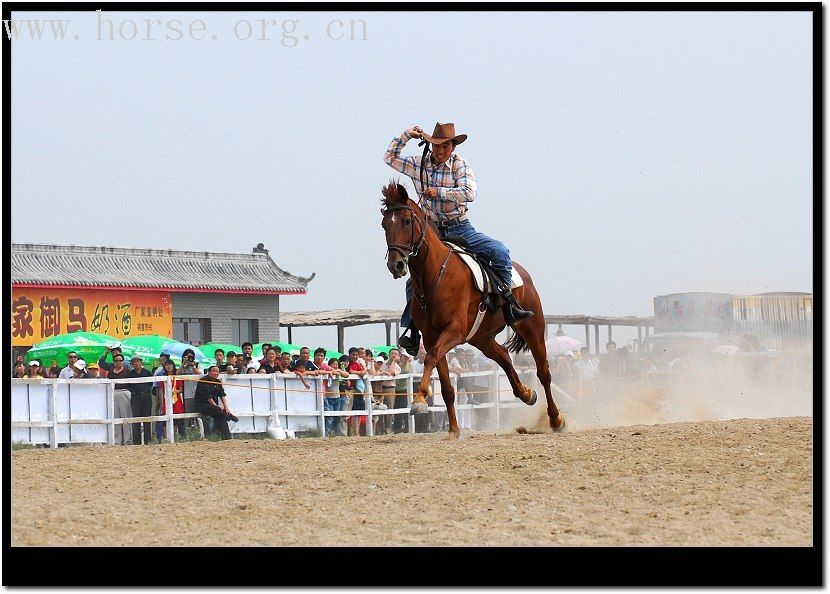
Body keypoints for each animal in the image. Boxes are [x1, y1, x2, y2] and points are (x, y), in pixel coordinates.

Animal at [382, 178, 564, 438]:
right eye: (384, 224)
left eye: (407, 221)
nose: (396, 264)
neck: (436, 275)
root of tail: (523, 275)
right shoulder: (432, 336)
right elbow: (446, 386)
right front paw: (453, 430)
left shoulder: (454, 331)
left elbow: (431, 357)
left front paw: (418, 400)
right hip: (482, 338)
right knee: (504, 357)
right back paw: (526, 394)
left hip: (533, 327)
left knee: (544, 373)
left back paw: (556, 419)